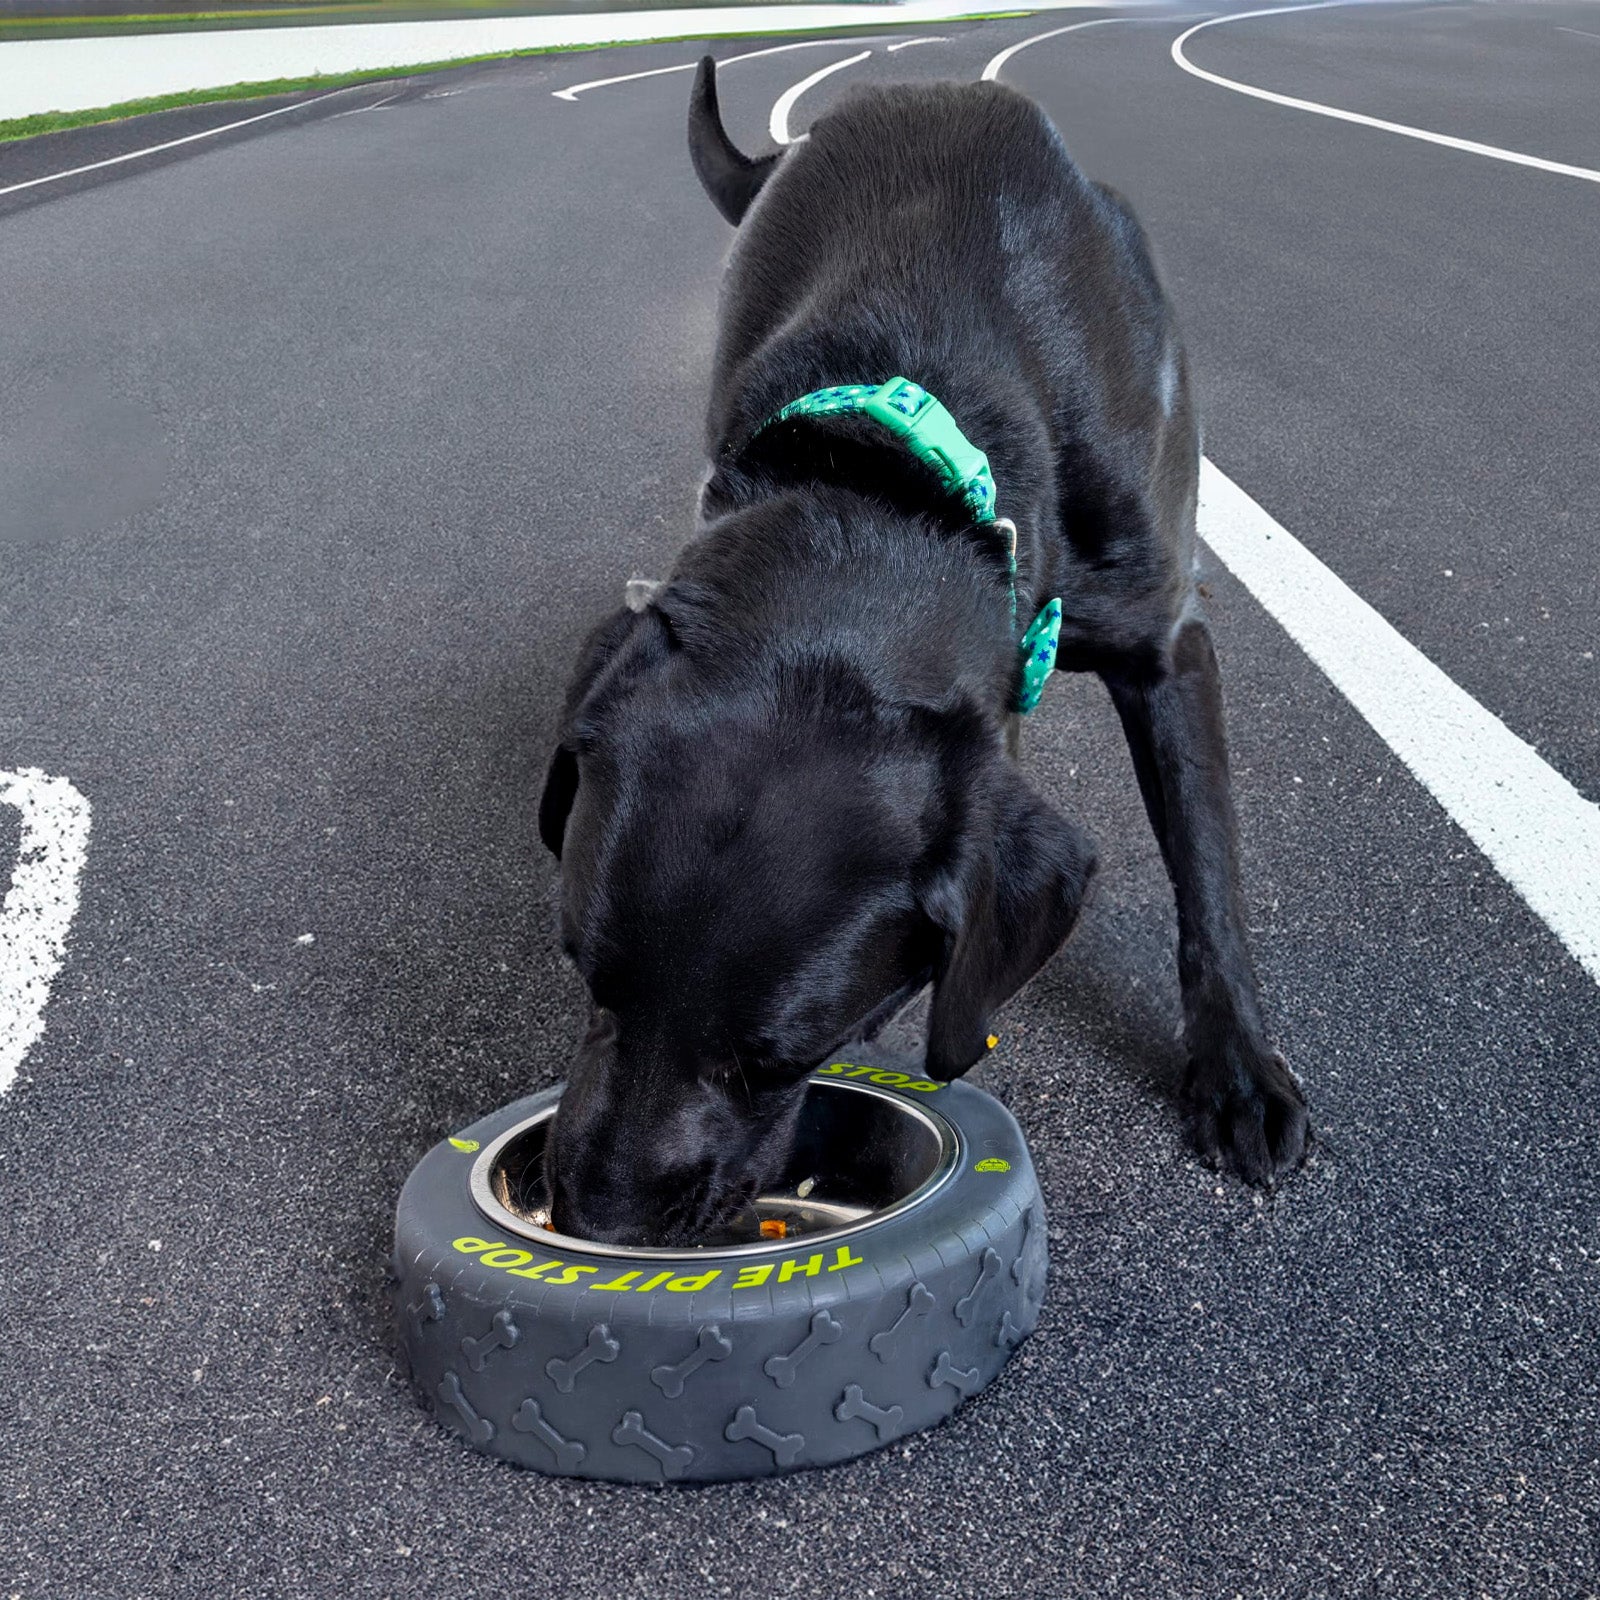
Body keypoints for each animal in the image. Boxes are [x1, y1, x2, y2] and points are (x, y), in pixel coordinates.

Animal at [531, 62, 1305, 1241]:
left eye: (780, 1058)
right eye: (587, 977)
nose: (597, 1230)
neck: (900, 472)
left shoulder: (1168, 645)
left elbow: (1206, 864)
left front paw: (1238, 1071)